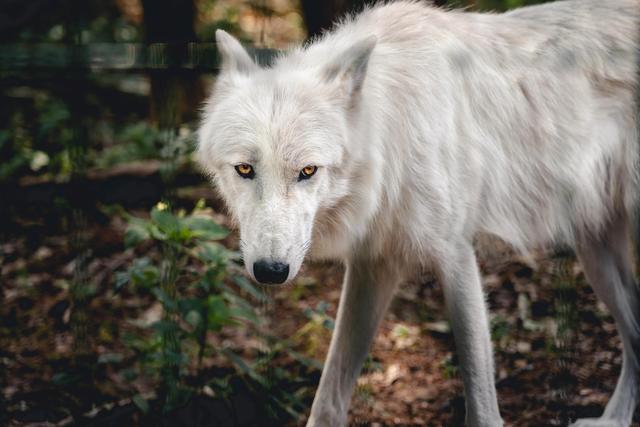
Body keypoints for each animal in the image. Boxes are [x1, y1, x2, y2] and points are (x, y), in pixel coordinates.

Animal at [198, 0, 636, 426]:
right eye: (244, 169)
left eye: (308, 171)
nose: (271, 271)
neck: (392, 135)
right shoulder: (373, 264)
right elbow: (328, 401)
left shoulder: (455, 256)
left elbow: (481, 406)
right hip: (595, 254)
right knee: (634, 334)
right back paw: (612, 420)